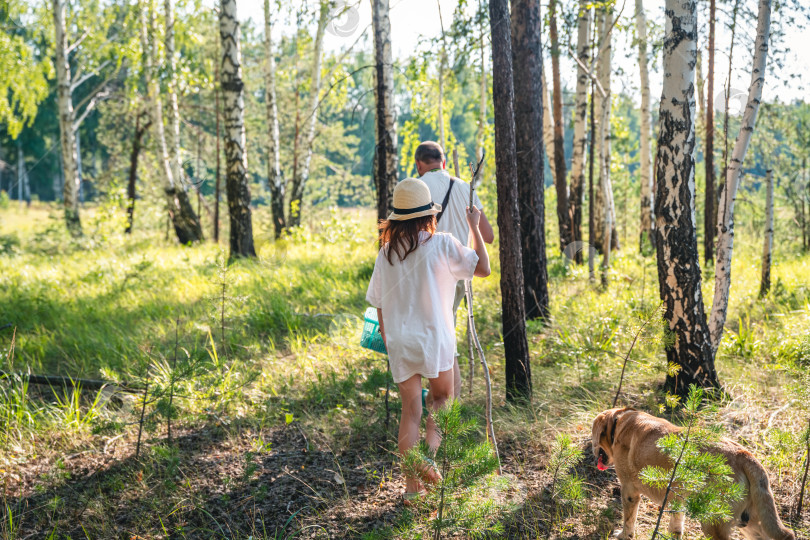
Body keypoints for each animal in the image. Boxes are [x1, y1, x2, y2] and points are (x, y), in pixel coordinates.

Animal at [592, 408, 792, 536]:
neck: (619, 423)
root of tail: (743, 454)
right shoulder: (677, 502)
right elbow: (676, 528)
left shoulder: (629, 491)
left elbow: (628, 522)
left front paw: (622, 535)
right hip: (753, 522)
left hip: (714, 522)